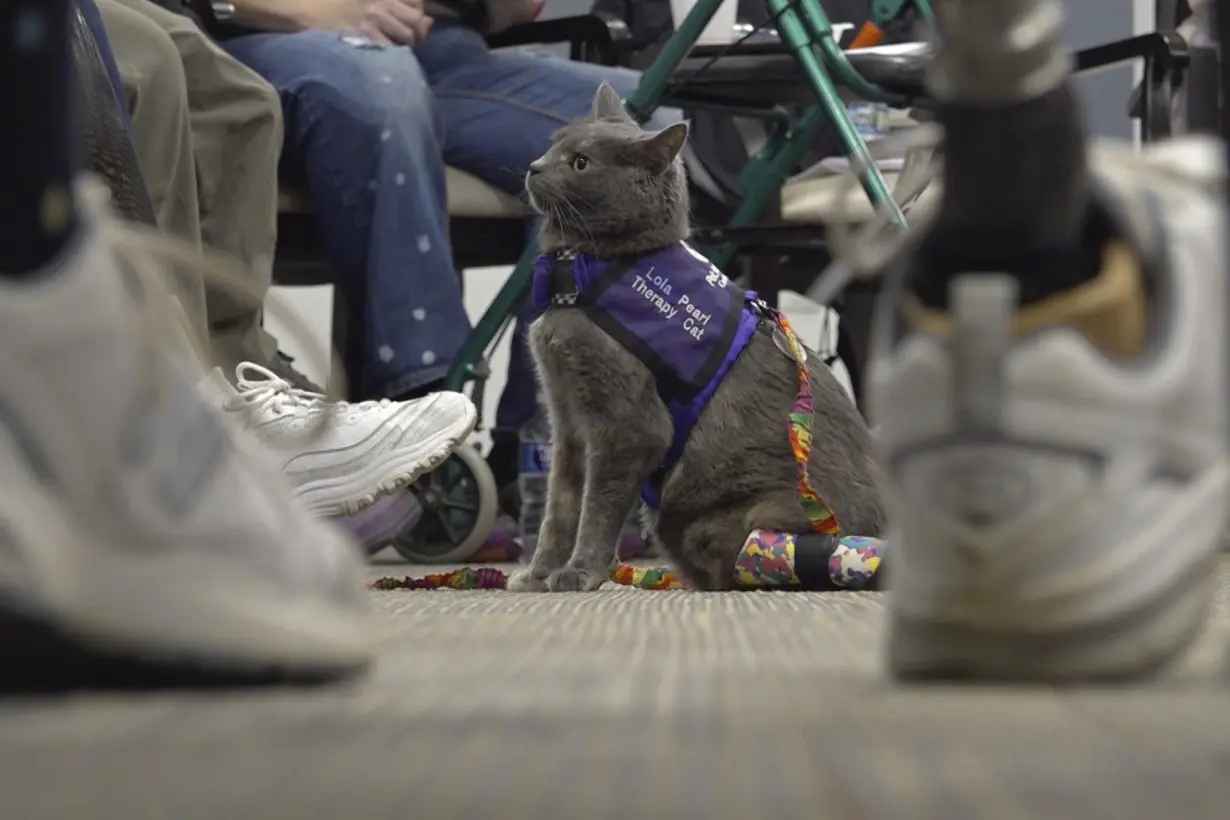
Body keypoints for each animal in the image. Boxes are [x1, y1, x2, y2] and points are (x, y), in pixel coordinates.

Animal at [509, 84, 885, 597]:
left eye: (581, 162)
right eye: (554, 144)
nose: (534, 166)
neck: (581, 275)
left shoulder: (627, 426)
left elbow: (597, 508)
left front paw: (580, 571)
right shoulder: (566, 416)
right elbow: (560, 506)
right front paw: (538, 573)